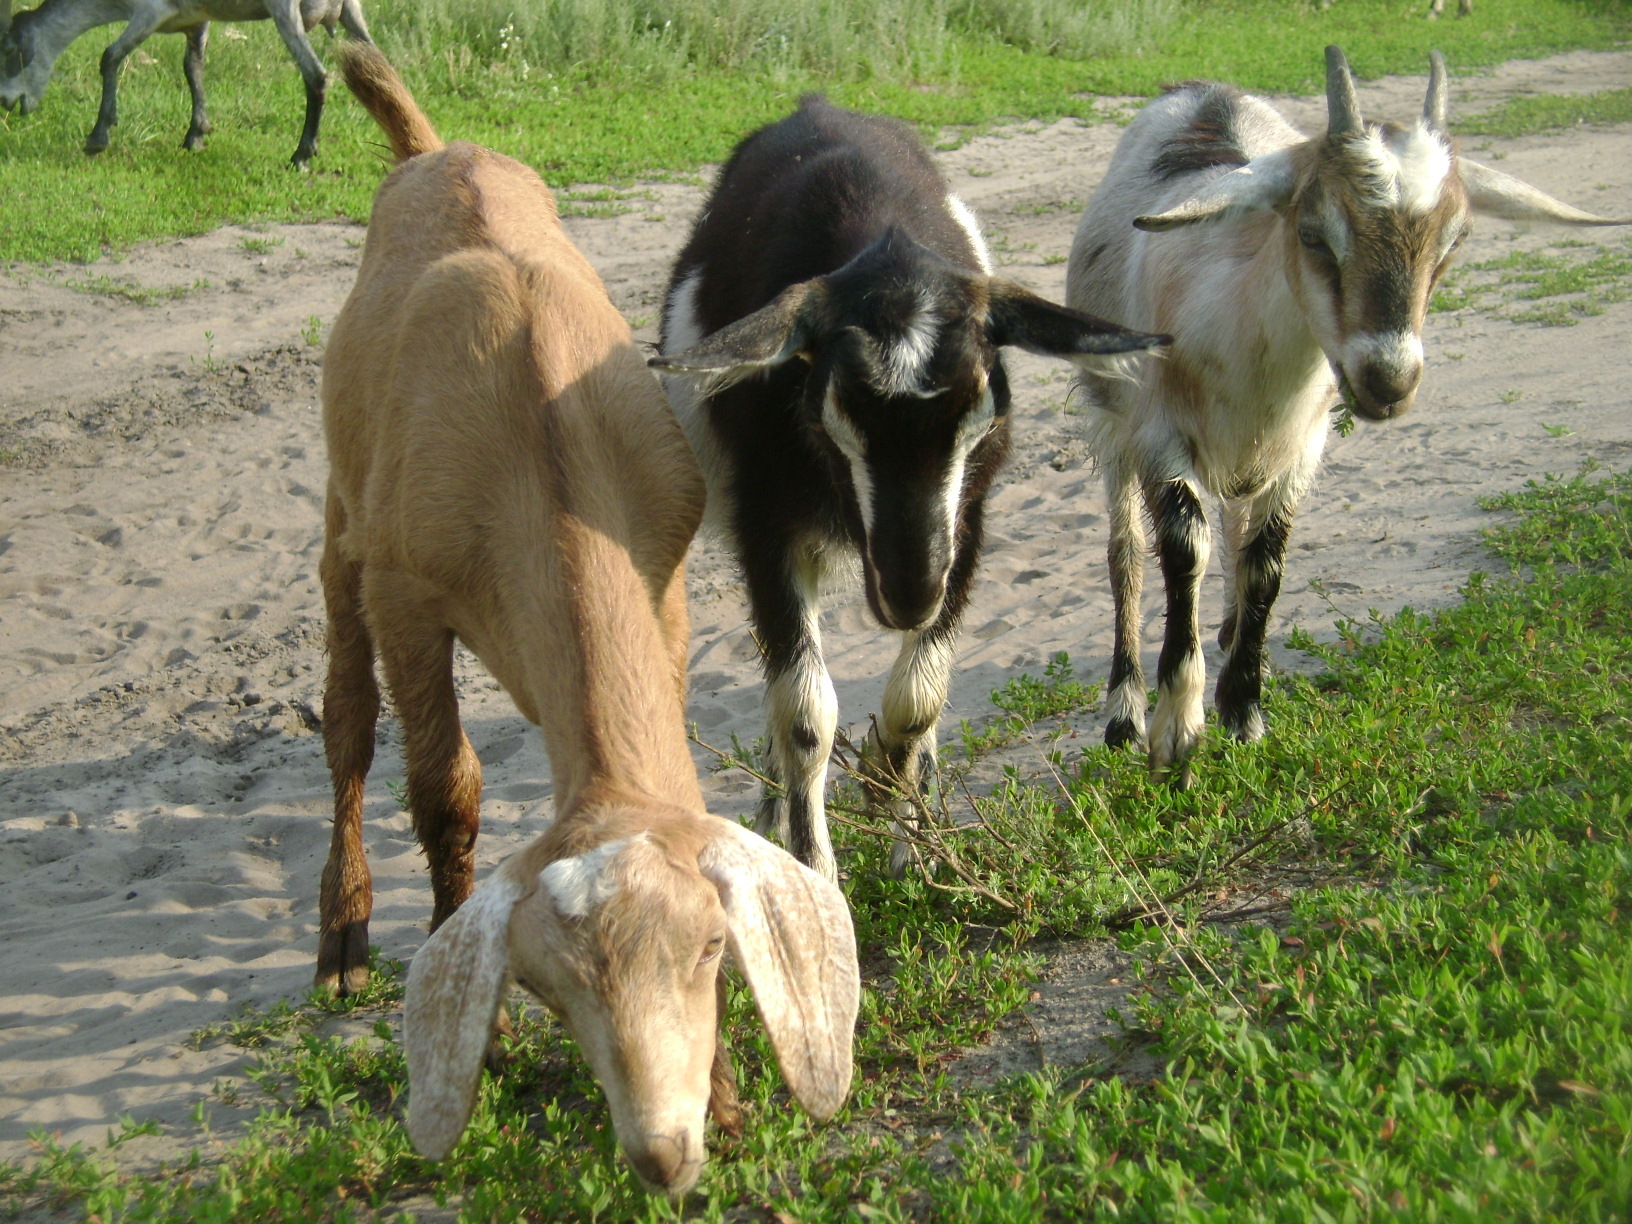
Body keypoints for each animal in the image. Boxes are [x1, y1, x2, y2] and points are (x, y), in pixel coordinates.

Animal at [311, 45, 861, 1201]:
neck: (541, 442)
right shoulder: (406, 591)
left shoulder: (664, 572)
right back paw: (340, 934)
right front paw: (484, 1035)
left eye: (710, 952)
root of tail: (435, 149)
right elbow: (446, 792)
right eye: (547, 988)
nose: (662, 1150)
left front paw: (730, 1093)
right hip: (344, 512)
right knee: (346, 711)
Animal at [656, 95, 1168, 881]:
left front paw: (896, 806)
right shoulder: (765, 528)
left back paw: (913, 831)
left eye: (985, 415)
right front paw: (816, 874)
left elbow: (917, 701)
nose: (907, 595)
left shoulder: (969, 519)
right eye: (828, 414)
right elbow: (803, 715)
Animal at [1064, 47, 1625, 786]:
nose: (1388, 380)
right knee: (1125, 550)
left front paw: (1244, 713)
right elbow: (1184, 548)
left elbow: (1266, 562)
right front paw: (1176, 732)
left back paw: (1232, 637)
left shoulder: (1302, 447)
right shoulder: (1160, 435)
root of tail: (1199, 91)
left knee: (1237, 529)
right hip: (1110, 424)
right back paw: (1123, 712)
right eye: (1313, 233)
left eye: (1455, 240)